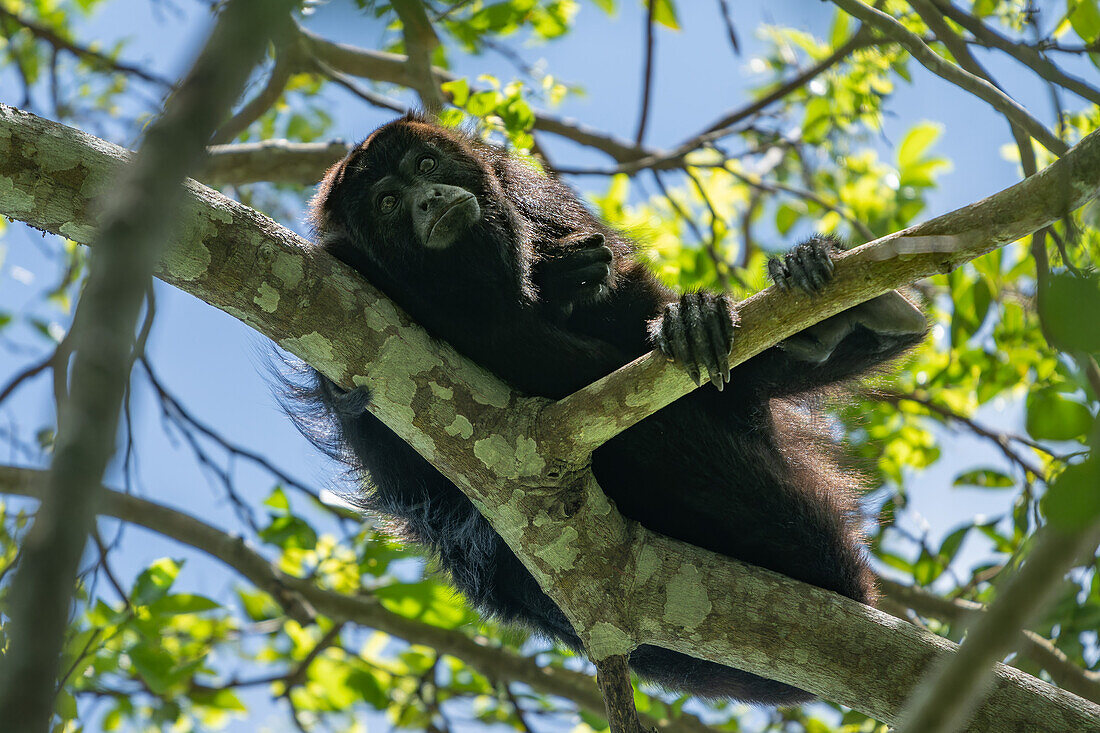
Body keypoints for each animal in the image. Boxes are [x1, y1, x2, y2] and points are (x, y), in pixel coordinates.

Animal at [294, 114, 928, 704]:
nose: (426, 198)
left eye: (425, 165)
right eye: (387, 203)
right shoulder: (342, 274)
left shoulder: (534, 193)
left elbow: (632, 299)